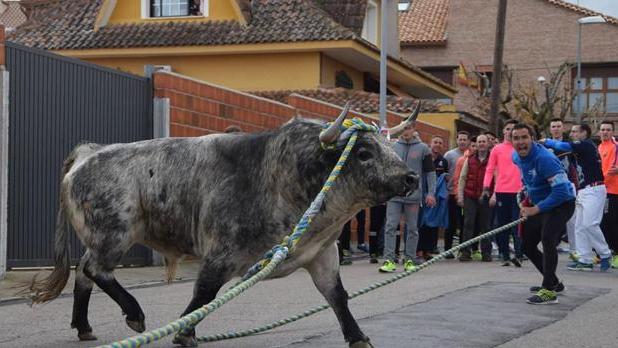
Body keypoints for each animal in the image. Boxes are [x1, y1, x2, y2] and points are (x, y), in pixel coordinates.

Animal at [24, 105, 418, 346]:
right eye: (363, 152)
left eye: (388, 146)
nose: (411, 177)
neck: (283, 176)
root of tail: (90, 152)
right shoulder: (221, 252)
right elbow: (205, 293)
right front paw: (184, 331)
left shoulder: (321, 254)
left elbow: (337, 296)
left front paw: (358, 336)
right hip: (114, 233)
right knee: (94, 269)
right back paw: (134, 314)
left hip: (103, 236)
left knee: (83, 274)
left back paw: (85, 327)